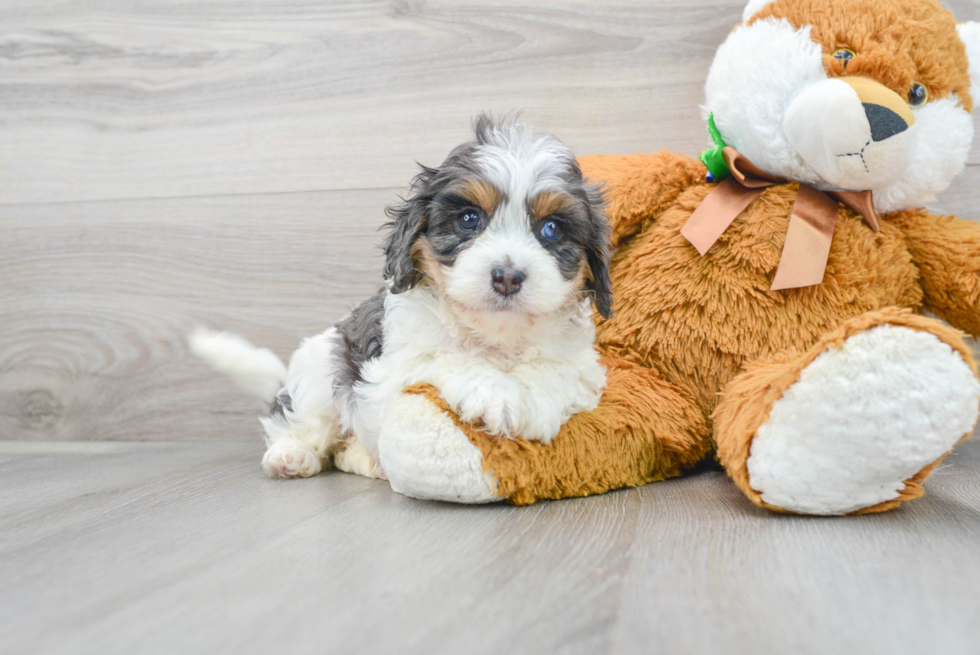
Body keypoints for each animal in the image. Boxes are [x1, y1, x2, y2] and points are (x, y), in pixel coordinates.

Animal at [189, 114, 612, 482]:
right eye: (469, 219)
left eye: (552, 229)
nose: (507, 277)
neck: (494, 337)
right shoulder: (392, 366)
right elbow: (443, 358)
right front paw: (497, 394)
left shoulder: (583, 369)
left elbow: (557, 372)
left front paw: (534, 401)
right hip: (319, 373)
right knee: (299, 423)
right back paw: (290, 455)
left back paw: (367, 461)